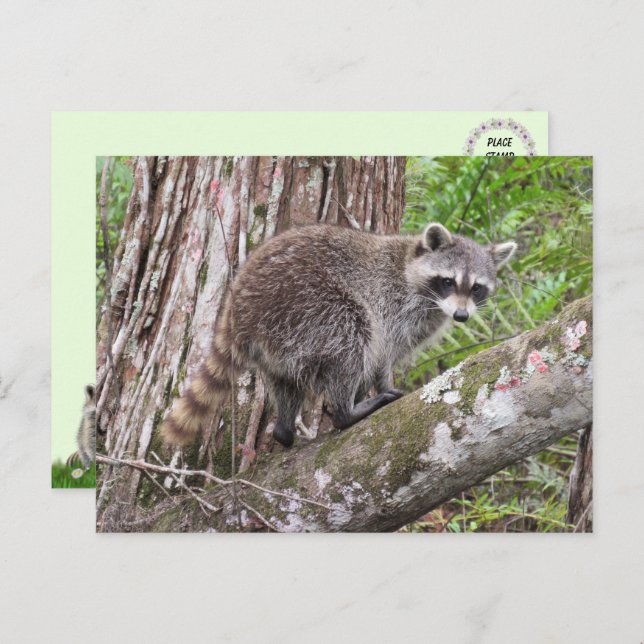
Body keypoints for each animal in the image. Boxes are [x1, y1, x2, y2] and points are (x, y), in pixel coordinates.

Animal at [160, 223, 516, 448]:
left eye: (476, 288)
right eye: (448, 281)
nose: (461, 316)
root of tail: (239, 308)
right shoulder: (392, 304)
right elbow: (380, 354)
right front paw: (380, 385)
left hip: (276, 341)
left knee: (285, 382)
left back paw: (285, 429)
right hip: (306, 304)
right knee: (351, 336)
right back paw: (347, 411)